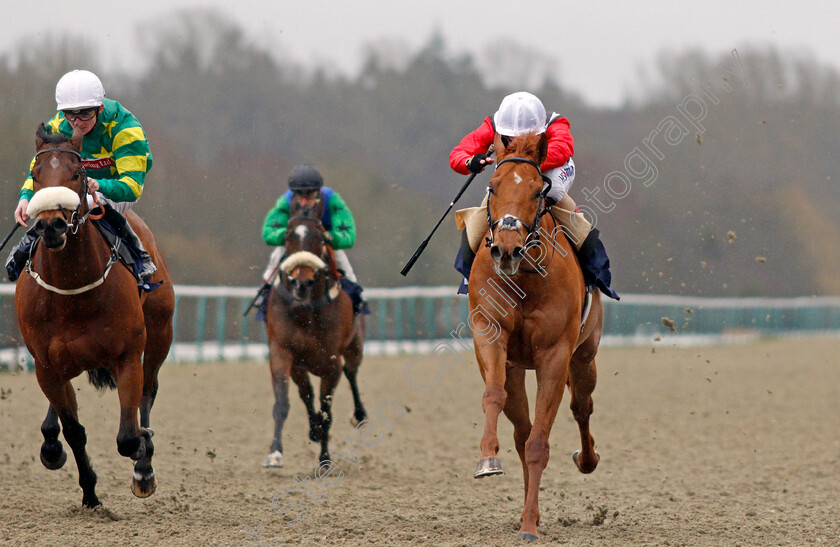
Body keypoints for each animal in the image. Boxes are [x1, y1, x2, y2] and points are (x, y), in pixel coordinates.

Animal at [15, 125, 174, 510]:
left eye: (76, 173)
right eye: (35, 175)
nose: (52, 226)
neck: (72, 291)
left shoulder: (127, 354)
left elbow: (129, 436)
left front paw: (142, 457)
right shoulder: (45, 365)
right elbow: (75, 431)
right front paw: (89, 493)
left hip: (160, 334)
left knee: (148, 391)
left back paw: (144, 467)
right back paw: (51, 444)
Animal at [262, 199, 368, 468]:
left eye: (320, 237)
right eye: (288, 235)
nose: (302, 282)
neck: (305, 311)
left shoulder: (331, 364)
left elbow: (326, 410)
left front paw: (325, 459)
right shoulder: (282, 353)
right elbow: (284, 402)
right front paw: (275, 452)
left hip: (355, 346)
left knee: (352, 373)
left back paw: (359, 415)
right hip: (301, 366)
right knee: (306, 394)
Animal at [466, 131, 604, 540]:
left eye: (536, 190)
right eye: (492, 186)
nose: (506, 250)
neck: (525, 277)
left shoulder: (555, 355)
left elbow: (540, 443)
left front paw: (528, 526)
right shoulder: (490, 334)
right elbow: (494, 397)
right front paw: (487, 459)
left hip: (585, 356)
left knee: (581, 407)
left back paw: (586, 459)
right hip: (516, 368)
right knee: (520, 430)